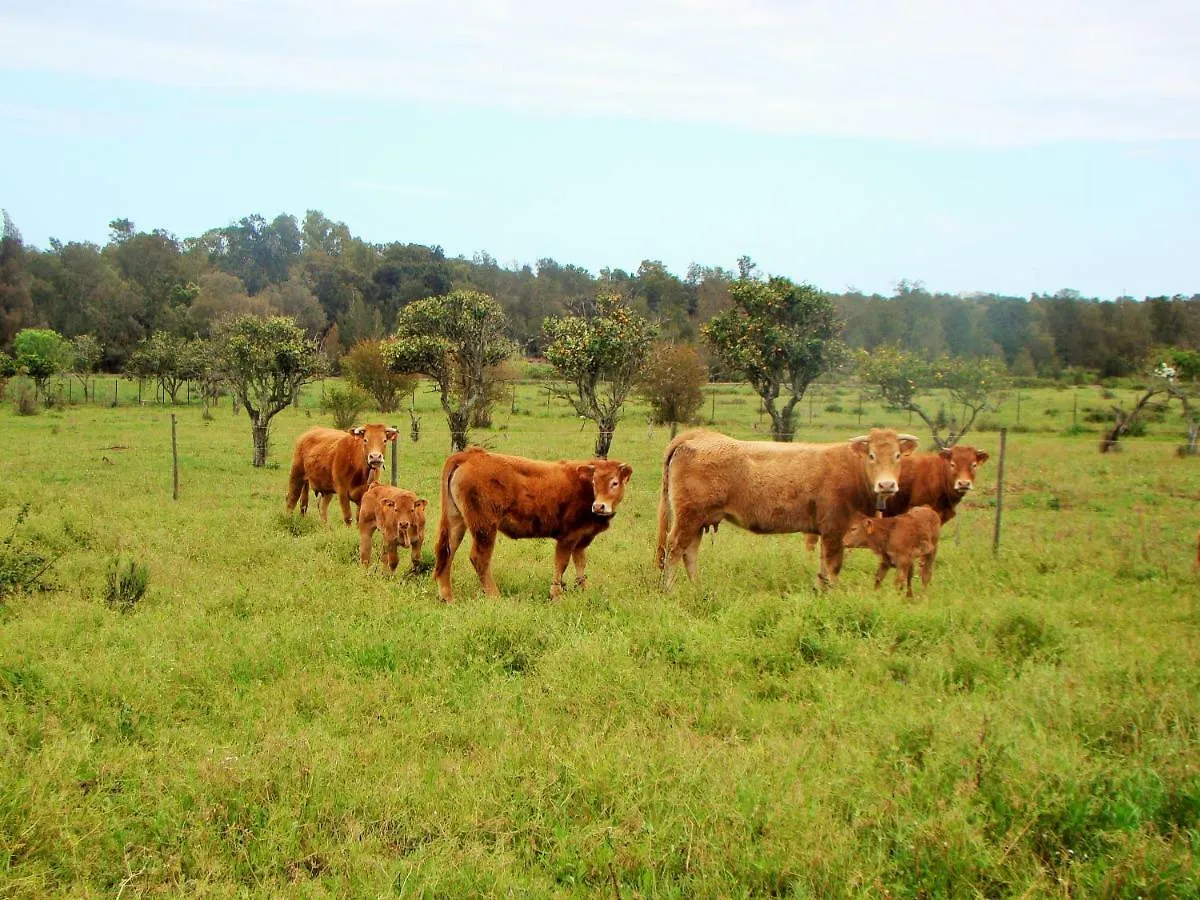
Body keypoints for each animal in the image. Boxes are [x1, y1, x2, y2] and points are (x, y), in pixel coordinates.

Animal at [434, 448, 638, 602]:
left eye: (614, 482)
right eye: (595, 482)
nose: (599, 506)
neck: (584, 487)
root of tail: (470, 454)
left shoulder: (582, 539)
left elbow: (580, 565)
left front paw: (582, 591)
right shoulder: (568, 537)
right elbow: (561, 564)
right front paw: (556, 595)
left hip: (456, 521)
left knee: (447, 552)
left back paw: (447, 597)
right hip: (485, 527)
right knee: (479, 558)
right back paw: (495, 596)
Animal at [657, 429, 916, 592]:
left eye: (898, 455)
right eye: (872, 455)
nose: (887, 485)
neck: (853, 469)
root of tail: (699, 435)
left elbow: (823, 568)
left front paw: (819, 592)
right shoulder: (834, 530)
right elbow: (832, 567)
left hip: (698, 520)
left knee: (689, 553)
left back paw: (697, 589)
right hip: (688, 518)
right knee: (674, 549)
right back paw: (669, 591)